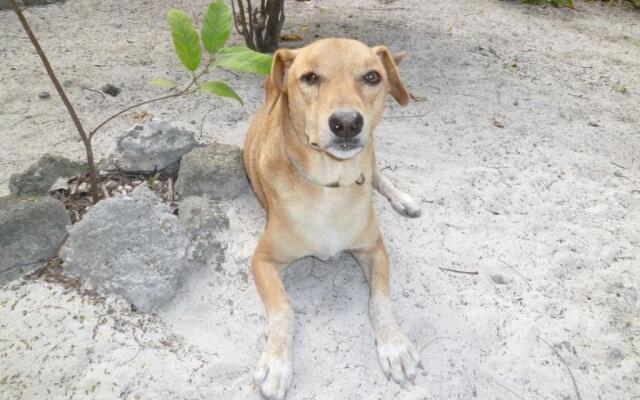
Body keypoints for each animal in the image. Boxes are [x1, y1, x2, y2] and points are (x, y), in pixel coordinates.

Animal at [244, 37, 420, 400]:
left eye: (371, 76)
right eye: (310, 77)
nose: (347, 122)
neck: (330, 186)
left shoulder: (375, 251)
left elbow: (380, 301)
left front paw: (395, 345)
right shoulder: (262, 259)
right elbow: (284, 310)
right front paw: (276, 362)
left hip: (372, 150)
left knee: (378, 174)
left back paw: (403, 199)